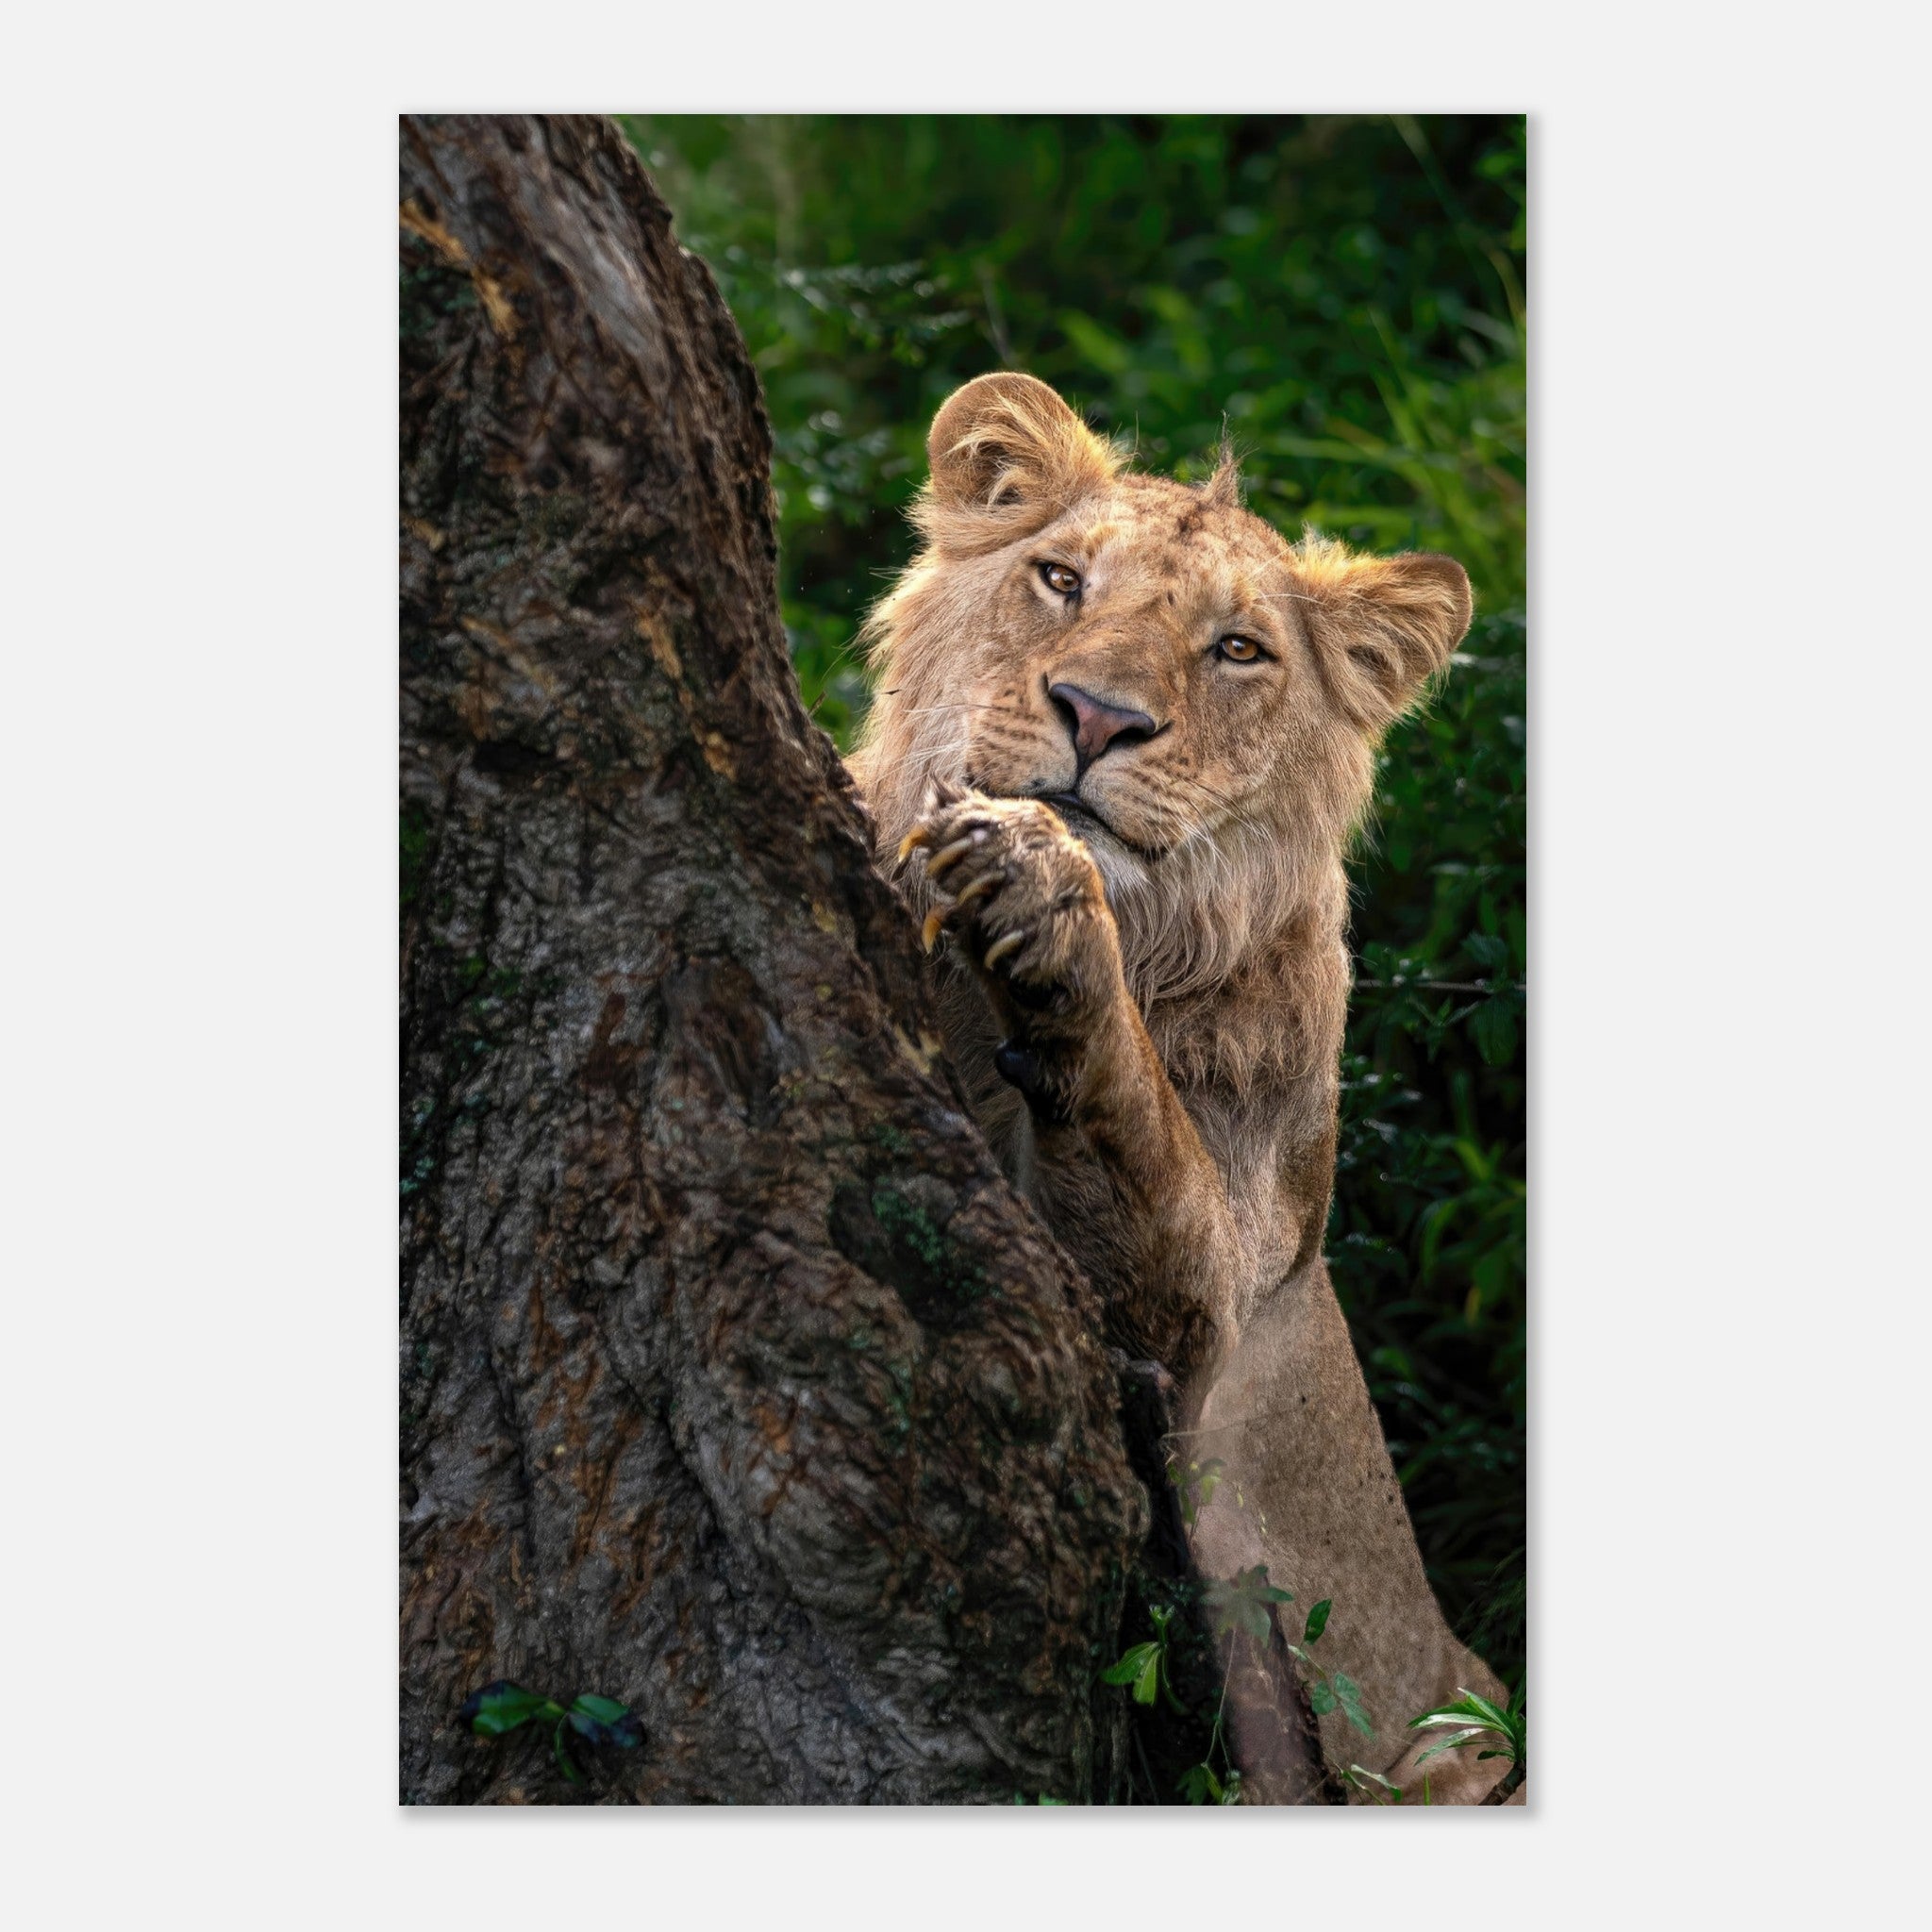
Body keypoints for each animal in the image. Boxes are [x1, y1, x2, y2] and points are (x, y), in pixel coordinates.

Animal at [845, 372, 1511, 1805]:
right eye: (1057, 578)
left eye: (1238, 651)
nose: (1099, 716)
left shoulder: (1211, 1319)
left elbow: (1140, 1136)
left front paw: (1040, 883)